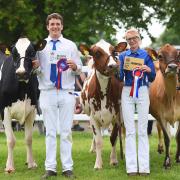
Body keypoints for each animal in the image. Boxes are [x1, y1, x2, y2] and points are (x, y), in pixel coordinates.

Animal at [0, 37, 46, 173]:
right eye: (14, 54)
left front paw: (31, 163)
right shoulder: (4, 111)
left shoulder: (32, 111)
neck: (22, 89)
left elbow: (28, 138)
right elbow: (11, 140)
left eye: (31, 53)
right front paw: (9, 166)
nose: (21, 73)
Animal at [79, 39, 126, 169]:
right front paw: (98, 164)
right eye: (97, 53)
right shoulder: (93, 117)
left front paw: (113, 160)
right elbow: (99, 140)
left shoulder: (116, 116)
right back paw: (93, 149)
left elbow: (113, 138)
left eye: (114, 51)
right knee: (95, 137)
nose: (113, 66)